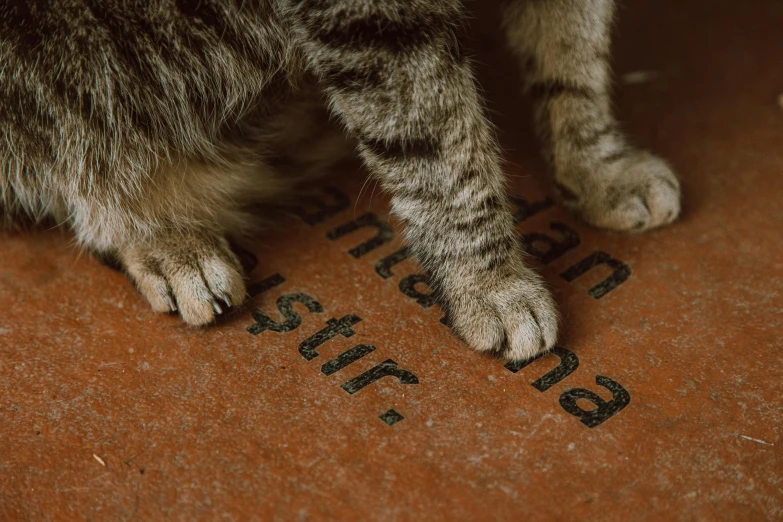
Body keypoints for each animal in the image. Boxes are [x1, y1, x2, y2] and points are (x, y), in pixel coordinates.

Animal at [0, 0, 680, 360]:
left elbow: (573, 55)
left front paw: (597, 166)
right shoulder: (372, 19)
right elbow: (443, 151)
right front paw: (491, 283)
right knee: (78, 143)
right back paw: (163, 235)